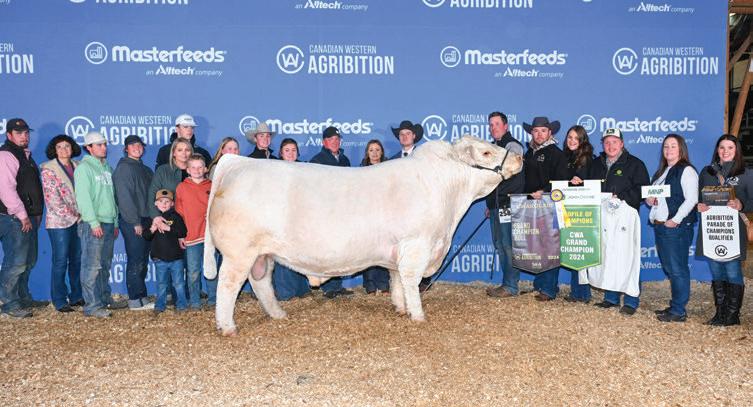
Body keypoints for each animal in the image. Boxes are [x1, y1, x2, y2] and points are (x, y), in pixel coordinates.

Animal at [203, 135, 523, 336]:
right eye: (486, 152)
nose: (519, 157)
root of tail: (237, 162)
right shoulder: (416, 244)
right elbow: (411, 281)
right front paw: (418, 315)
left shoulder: (398, 249)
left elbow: (396, 281)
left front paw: (400, 309)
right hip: (238, 253)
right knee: (228, 286)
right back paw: (227, 327)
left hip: (263, 253)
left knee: (261, 284)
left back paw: (278, 315)